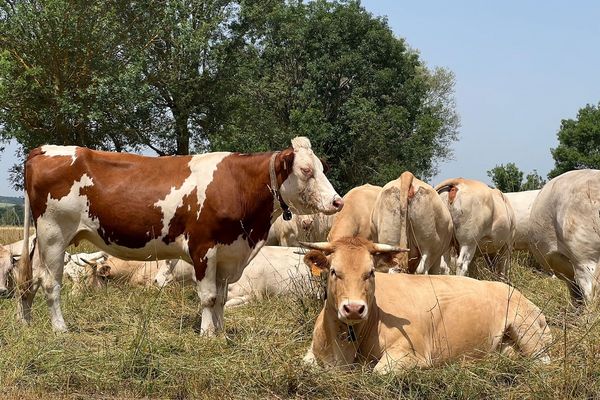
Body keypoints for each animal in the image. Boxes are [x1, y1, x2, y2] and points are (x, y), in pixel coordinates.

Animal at [16, 136, 342, 332]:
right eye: (306, 170)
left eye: (322, 168)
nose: (337, 201)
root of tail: (44, 149)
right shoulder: (203, 248)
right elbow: (209, 297)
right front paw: (207, 335)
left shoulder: (228, 253)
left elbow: (221, 298)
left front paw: (220, 334)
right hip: (54, 234)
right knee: (50, 283)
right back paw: (60, 329)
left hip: (43, 239)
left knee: (32, 280)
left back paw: (26, 322)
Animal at [302, 238, 552, 372]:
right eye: (334, 272)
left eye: (370, 272)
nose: (354, 308)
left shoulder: (412, 354)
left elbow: (377, 371)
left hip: (528, 332)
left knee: (542, 361)